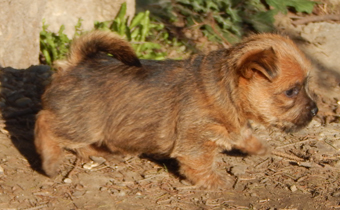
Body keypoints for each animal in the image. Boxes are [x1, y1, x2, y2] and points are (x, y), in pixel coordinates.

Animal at [33, 30, 316, 189]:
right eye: (292, 91)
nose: (315, 110)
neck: (225, 90)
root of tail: (76, 64)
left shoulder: (232, 125)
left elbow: (243, 133)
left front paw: (259, 147)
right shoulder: (196, 143)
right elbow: (201, 164)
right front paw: (214, 181)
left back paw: (103, 152)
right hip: (82, 122)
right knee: (44, 121)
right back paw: (50, 160)